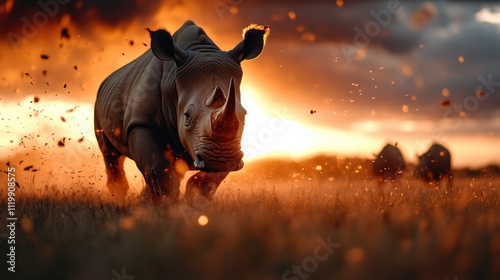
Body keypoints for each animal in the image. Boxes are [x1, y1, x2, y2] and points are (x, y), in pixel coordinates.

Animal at [94, 19, 270, 203]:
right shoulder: (142, 123)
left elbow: (205, 181)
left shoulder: (231, 146)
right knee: (111, 154)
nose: (220, 158)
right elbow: (160, 171)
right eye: (186, 116)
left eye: (244, 114)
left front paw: (193, 203)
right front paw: (164, 205)